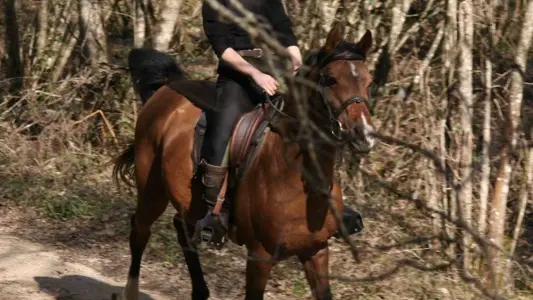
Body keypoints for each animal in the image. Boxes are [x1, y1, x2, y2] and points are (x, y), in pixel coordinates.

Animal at [111, 24, 378, 300]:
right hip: (152, 190)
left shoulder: (316, 250)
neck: (294, 174)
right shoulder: (260, 255)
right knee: (140, 231)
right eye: (330, 79)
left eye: (369, 81)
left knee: (182, 229)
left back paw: (200, 291)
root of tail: (168, 88)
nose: (364, 134)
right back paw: (131, 291)